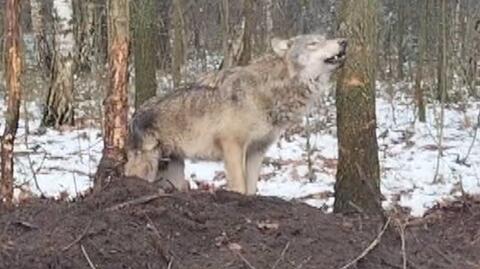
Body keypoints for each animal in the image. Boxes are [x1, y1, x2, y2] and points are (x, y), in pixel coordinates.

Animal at [125, 33, 346, 194]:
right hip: (147, 167)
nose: (344, 41)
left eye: (324, 37)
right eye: (314, 43)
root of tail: (134, 115)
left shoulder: (257, 151)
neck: (271, 90)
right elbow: (239, 186)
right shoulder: (232, 145)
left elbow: (251, 188)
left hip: (173, 173)